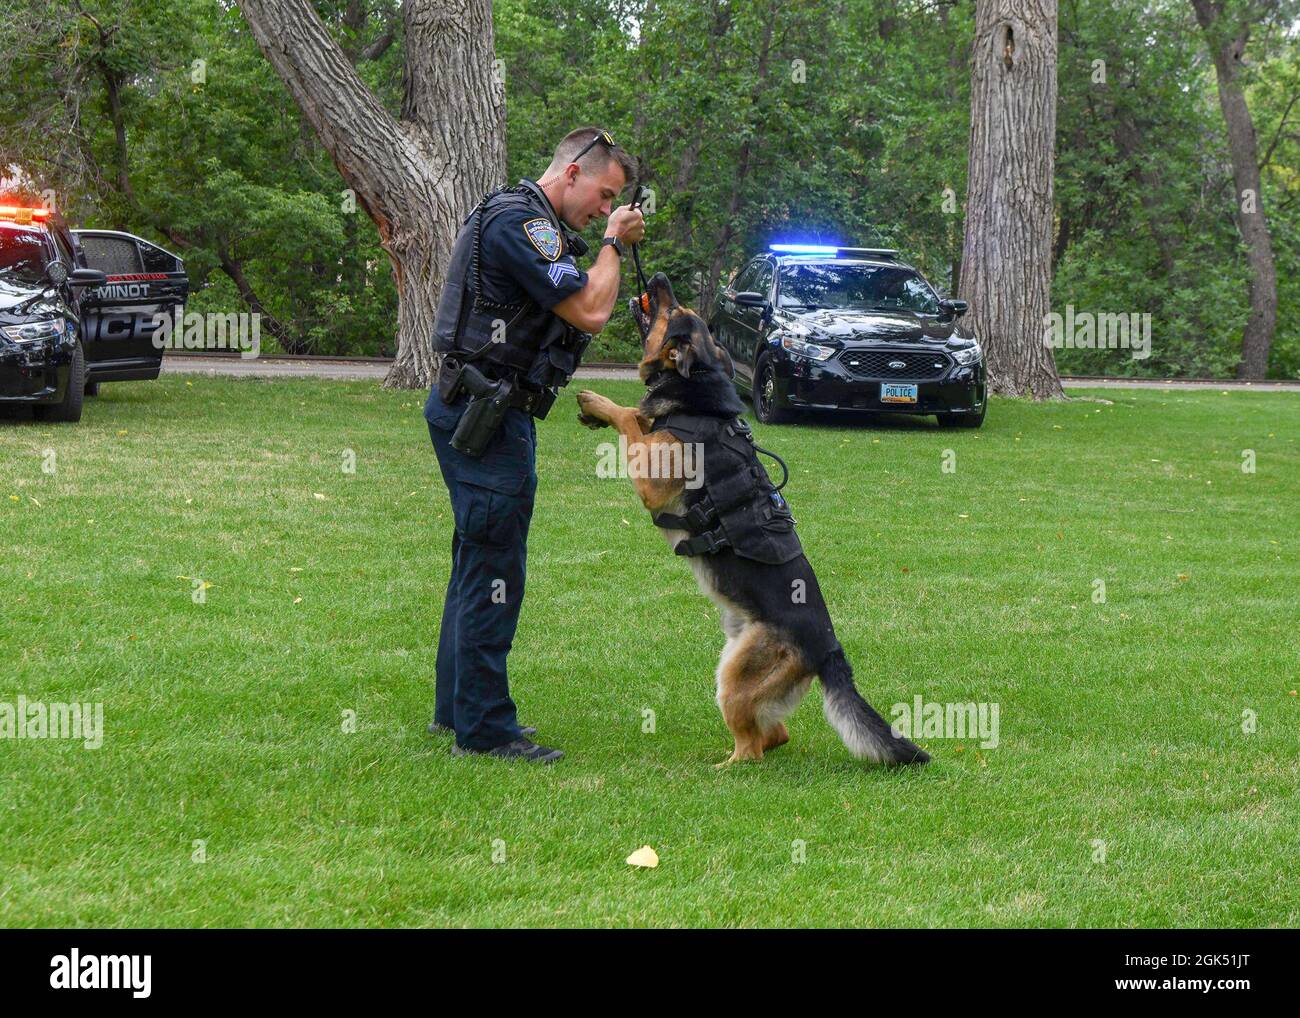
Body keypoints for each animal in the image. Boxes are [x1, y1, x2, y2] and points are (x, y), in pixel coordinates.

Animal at [574, 274, 930, 769]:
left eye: (672, 309)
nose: (659, 279)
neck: (697, 393)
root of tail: (830, 651)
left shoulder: (651, 480)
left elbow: (630, 416)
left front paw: (598, 401)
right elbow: (637, 417)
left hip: (735, 681)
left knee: (753, 750)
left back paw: (721, 768)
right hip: (738, 662)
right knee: (775, 734)